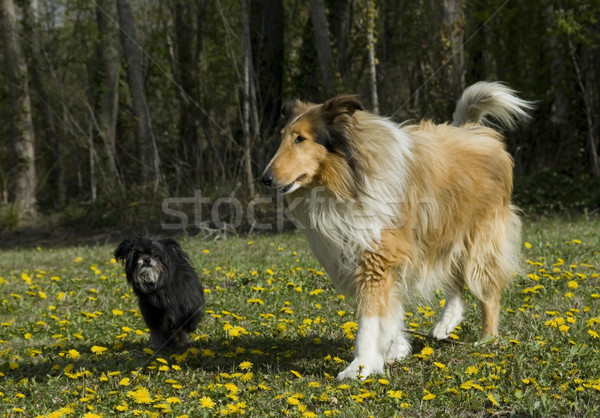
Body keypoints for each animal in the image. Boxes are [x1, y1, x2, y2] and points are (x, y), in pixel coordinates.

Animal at [262, 81, 528, 378]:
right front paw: (395, 349)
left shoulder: (376, 258)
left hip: (479, 240)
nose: (265, 179)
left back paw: (487, 339)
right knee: (454, 280)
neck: (348, 180)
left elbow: (369, 320)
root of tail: (472, 130)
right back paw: (446, 323)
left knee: (487, 291)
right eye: (284, 137)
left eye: (300, 139)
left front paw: (360, 367)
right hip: (443, 235)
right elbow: (388, 313)